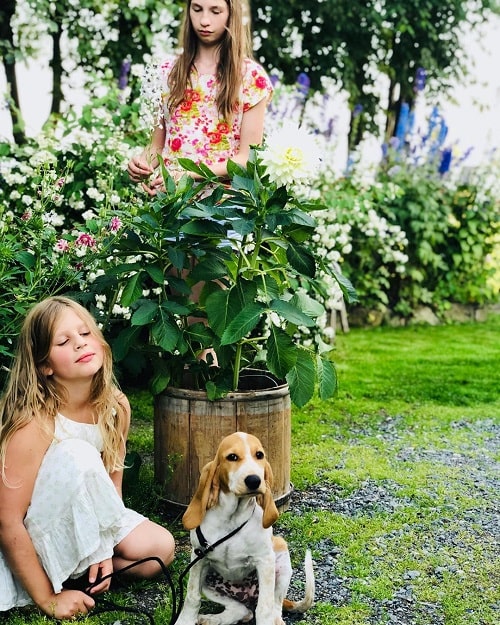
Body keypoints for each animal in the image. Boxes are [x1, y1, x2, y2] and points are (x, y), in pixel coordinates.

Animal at [176, 432, 314, 624]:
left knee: (273, 607)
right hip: (209, 582)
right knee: (242, 610)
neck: (232, 519)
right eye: (232, 457)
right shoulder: (198, 559)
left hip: (281, 556)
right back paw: (212, 619)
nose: (254, 480)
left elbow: (264, 609)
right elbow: (192, 597)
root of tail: (247, 595)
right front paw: (185, 621)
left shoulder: (265, 562)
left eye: (259, 455)